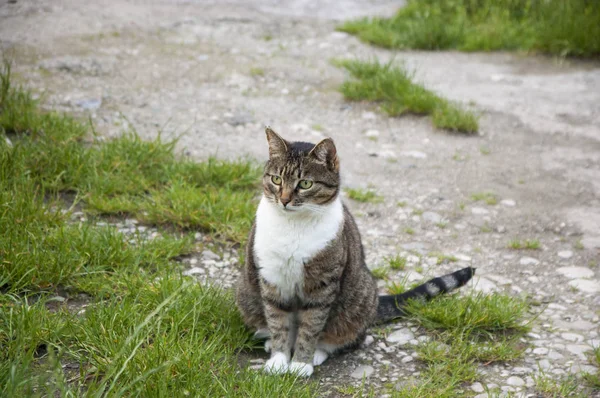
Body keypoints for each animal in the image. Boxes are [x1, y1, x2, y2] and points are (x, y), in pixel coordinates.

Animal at [234, 127, 474, 376]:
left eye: (305, 184)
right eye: (276, 179)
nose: (284, 200)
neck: (294, 226)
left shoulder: (322, 285)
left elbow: (311, 327)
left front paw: (301, 363)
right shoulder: (272, 278)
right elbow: (277, 320)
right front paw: (279, 359)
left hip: (358, 300)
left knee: (345, 337)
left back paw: (318, 353)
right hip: (245, 290)